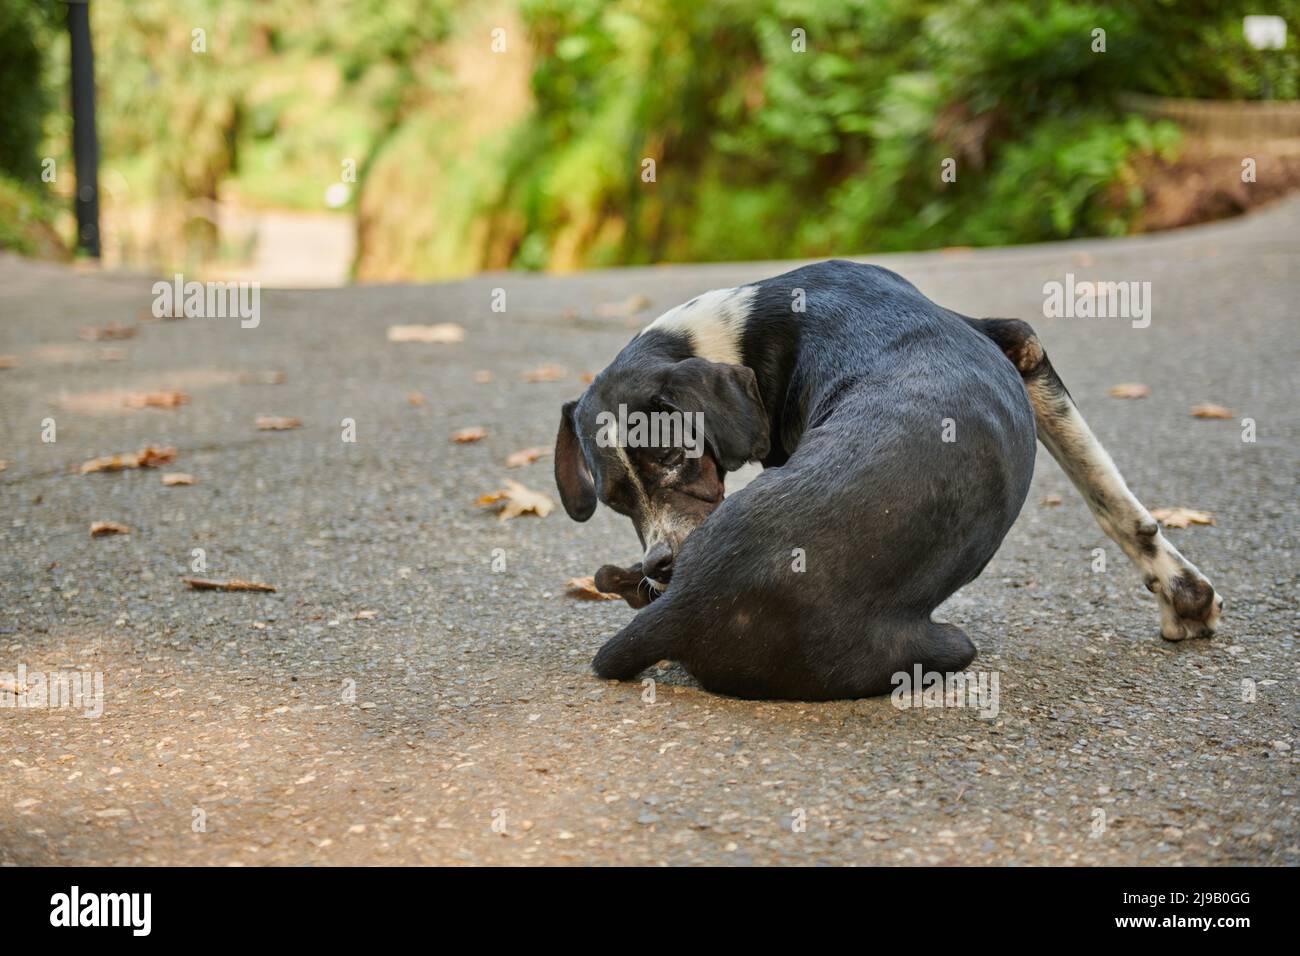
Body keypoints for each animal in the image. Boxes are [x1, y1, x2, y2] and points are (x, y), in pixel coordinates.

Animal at [553, 257, 1222, 697]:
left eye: (672, 456)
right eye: (616, 500)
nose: (662, 563)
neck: (732, 332)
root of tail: (693, 600)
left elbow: (1106, 492)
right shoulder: (1017, 343)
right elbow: (1107, 493)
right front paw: (1182, 592)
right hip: (938, 644)